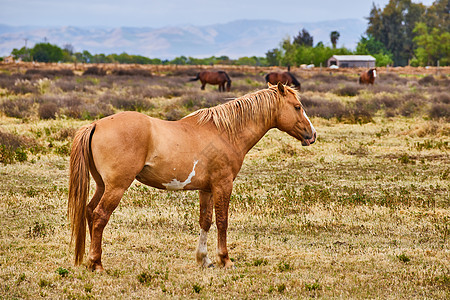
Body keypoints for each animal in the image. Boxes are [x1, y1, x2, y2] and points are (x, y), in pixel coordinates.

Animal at [69, 82, 316, 272]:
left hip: (102, 185)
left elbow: (205, 221)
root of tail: (96, 124)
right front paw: (225, 260)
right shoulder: (223, 185)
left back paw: (91, 261)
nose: (312, 135)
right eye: (297, 107)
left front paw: (204, 259)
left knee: (90, 211)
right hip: (116, 186)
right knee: (100, 215)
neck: (225, 132)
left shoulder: (206, 189)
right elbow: (222, 221)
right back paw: (97, 264)